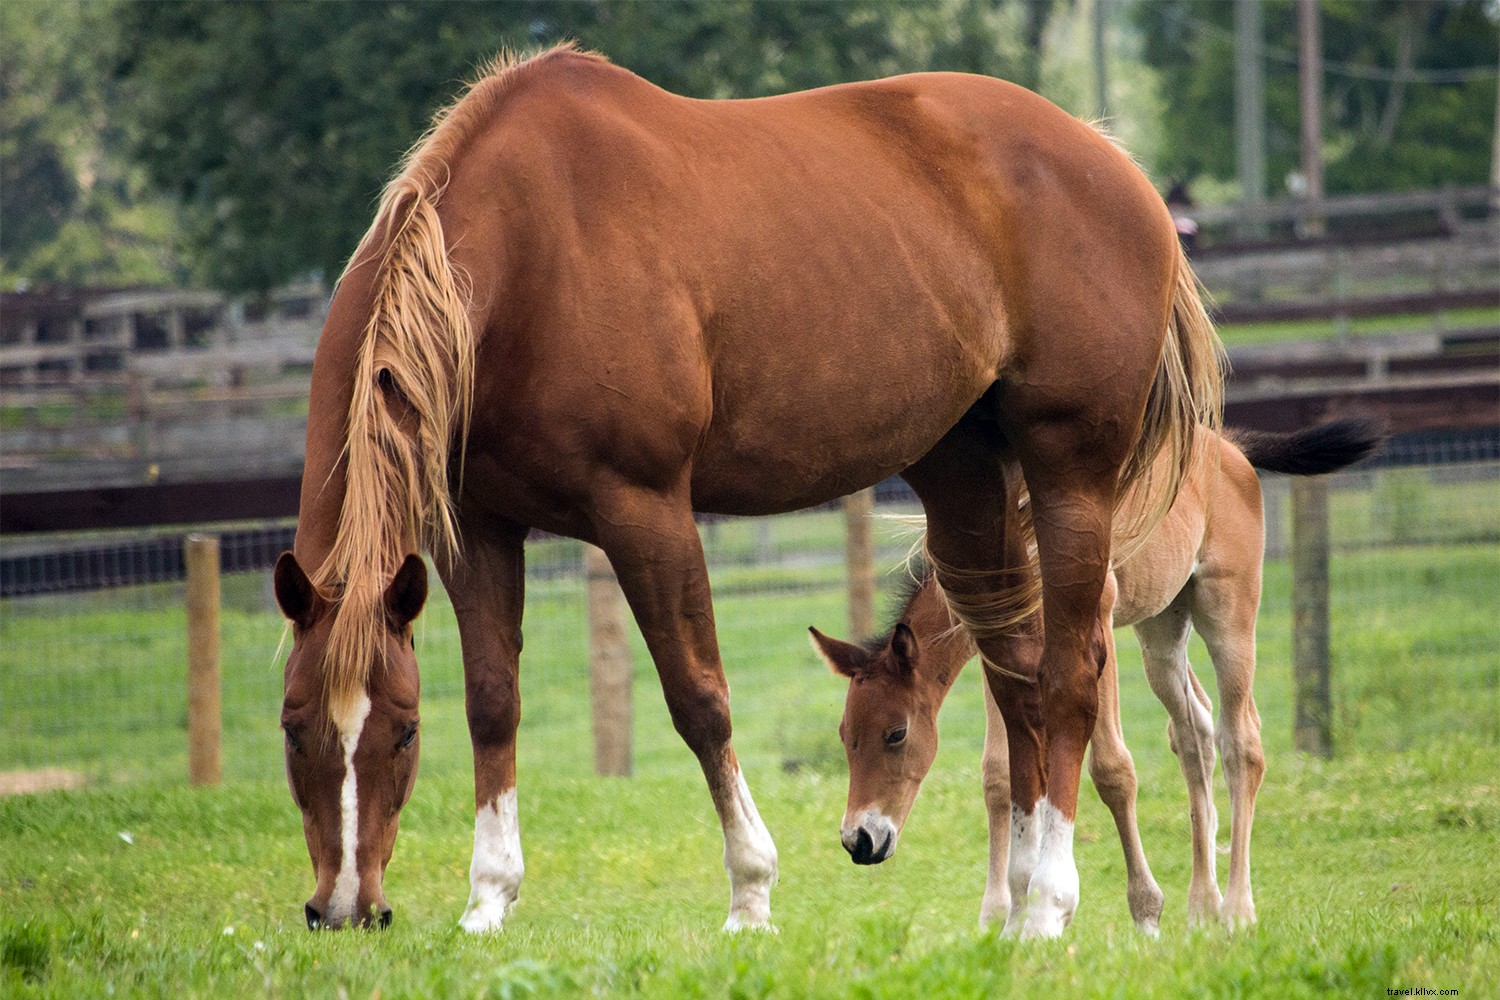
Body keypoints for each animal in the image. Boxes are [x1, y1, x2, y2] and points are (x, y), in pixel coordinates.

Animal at [271, 43, 1223, 934]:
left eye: (402, 731)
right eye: (291, 726)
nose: (345, 907)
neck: (527, 258)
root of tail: (1117, 166)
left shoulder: (645, 511)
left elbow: (700, 702)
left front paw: (751, 891)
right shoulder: (478, 528)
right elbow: (493, 703)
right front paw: (489, 898)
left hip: (1071, 478)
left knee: (1069, 676)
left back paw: (1054, 899)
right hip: (964, 480)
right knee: (1016, 670)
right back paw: (1021, 902)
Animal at [811, 419, 1381, 935]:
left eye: (896, 733)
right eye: (844, 735)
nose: (860, 840)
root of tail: (1227, 446)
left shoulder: (1094, 629)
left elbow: (1112, 770)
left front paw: (1145, 912)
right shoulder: (1004, 661)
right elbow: (1000, 775)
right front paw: (998, 916)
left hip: (1227, 612)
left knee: (1241, 740)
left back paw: (1237, 911)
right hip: (1161, 629)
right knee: (1193, 732)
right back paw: (1203, 905)